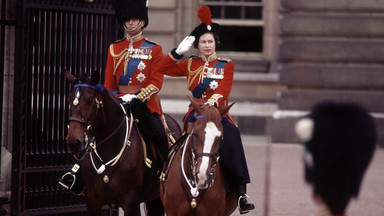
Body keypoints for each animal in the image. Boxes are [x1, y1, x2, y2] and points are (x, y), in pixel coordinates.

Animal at [65, 70, 182, 214]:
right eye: (69, 100)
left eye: (89, 100)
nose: (73, 141)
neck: (109, 150)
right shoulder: (92, 201)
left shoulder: (130, 201)